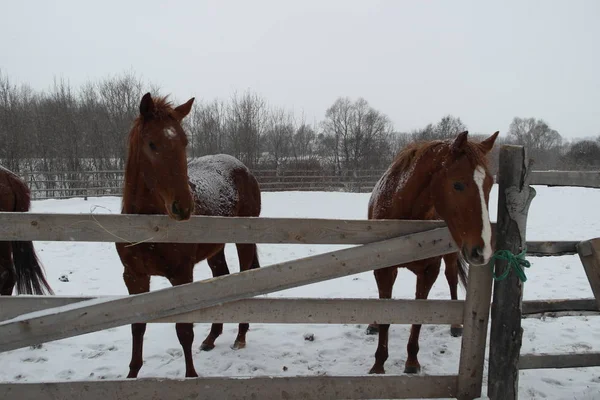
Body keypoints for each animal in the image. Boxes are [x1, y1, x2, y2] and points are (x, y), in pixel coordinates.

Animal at [116, 93, 262, 378]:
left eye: (184, 142)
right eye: (152, 143)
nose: (183, 207)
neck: (148, 228)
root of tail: (244, 168)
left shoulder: (181, 275)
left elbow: (184, 331)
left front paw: (191, 376)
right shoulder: (134, 276)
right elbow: (137, 325)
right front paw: (132, 374)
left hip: (244, 242)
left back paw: (240, 337)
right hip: (216, 249)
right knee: (221, 278)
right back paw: (211, 338)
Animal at [366, 130, 496, 376]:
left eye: (490, 184)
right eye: (457, 184)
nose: (482, 250)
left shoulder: (429, 271)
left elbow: (419, 315)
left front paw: (411, 362)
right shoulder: (384, 267)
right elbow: (385, 309)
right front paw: (378, 365)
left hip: (452, 255)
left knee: (452, 278)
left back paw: (456, 326)